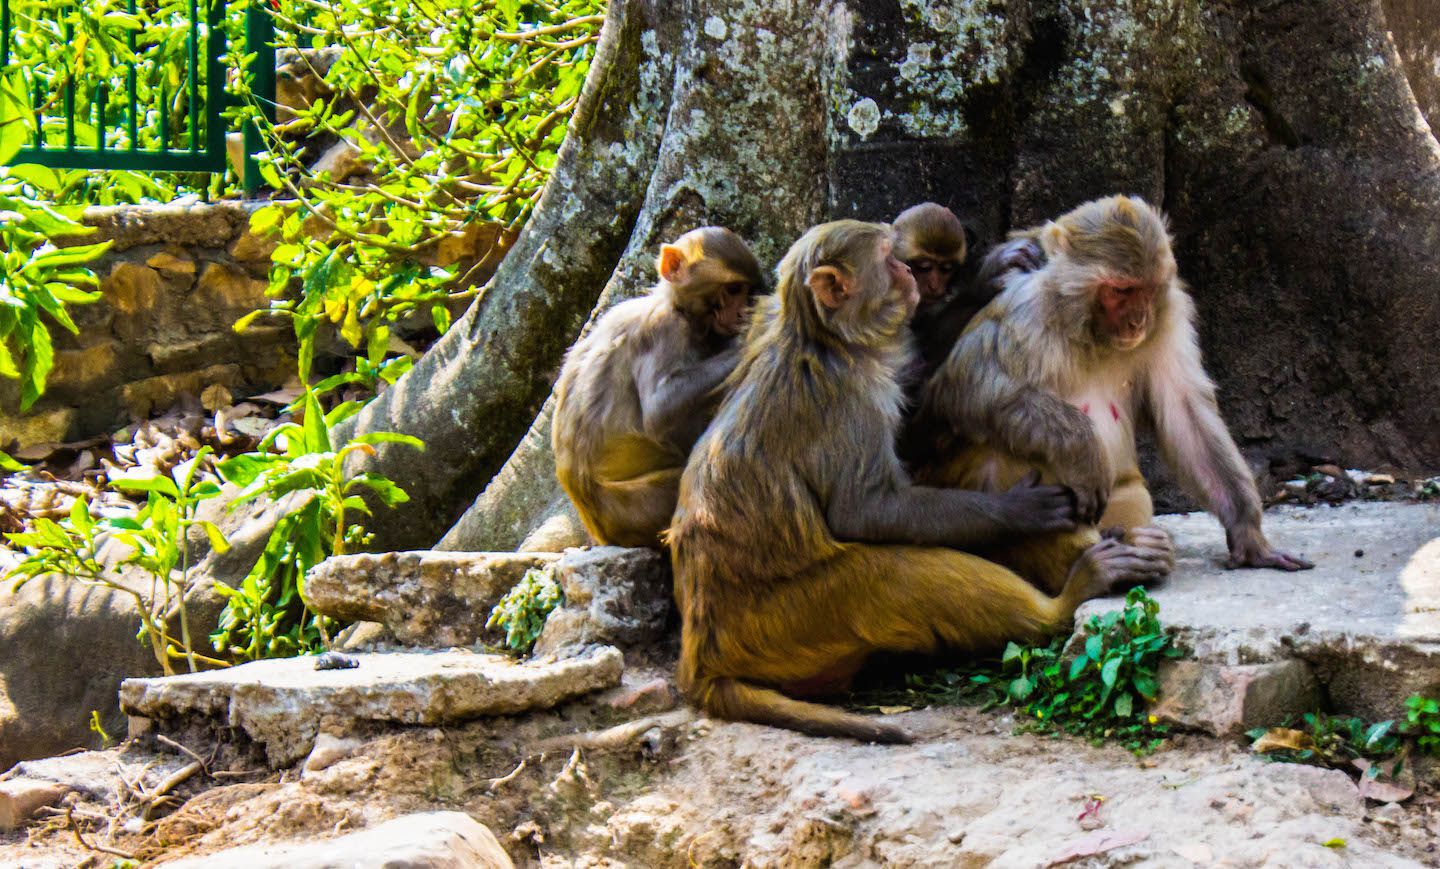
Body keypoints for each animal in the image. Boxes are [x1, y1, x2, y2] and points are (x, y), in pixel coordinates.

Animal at [552, 226, 762, 548]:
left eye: (746, 291)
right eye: (733, 290)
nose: (741, 314)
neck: (677, 307)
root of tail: (600, 532)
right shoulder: (665, 330)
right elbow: (659, 409)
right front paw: (747, 338)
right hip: (639, 507)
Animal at [667, 220, 1172, 744]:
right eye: (891, 259)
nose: (909, 274)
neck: (821, 340)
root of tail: (701, 663)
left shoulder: (764, 323)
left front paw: (991, 276)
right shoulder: (852, 398)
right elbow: (865, 510)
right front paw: (1019, 509)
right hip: (793, 618)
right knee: (891, 572)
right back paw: (1072, 593)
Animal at [918, 195, 1313, 588]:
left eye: (1147, 288)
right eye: (1122, 290)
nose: (1138, 321)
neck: (1090, 331)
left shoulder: (1168, 317)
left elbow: (1185, 413)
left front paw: (1248, 532)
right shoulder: (1025, 308)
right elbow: (967, 389)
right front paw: (1083, 450)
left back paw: (1140, 548)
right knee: (995, 451)